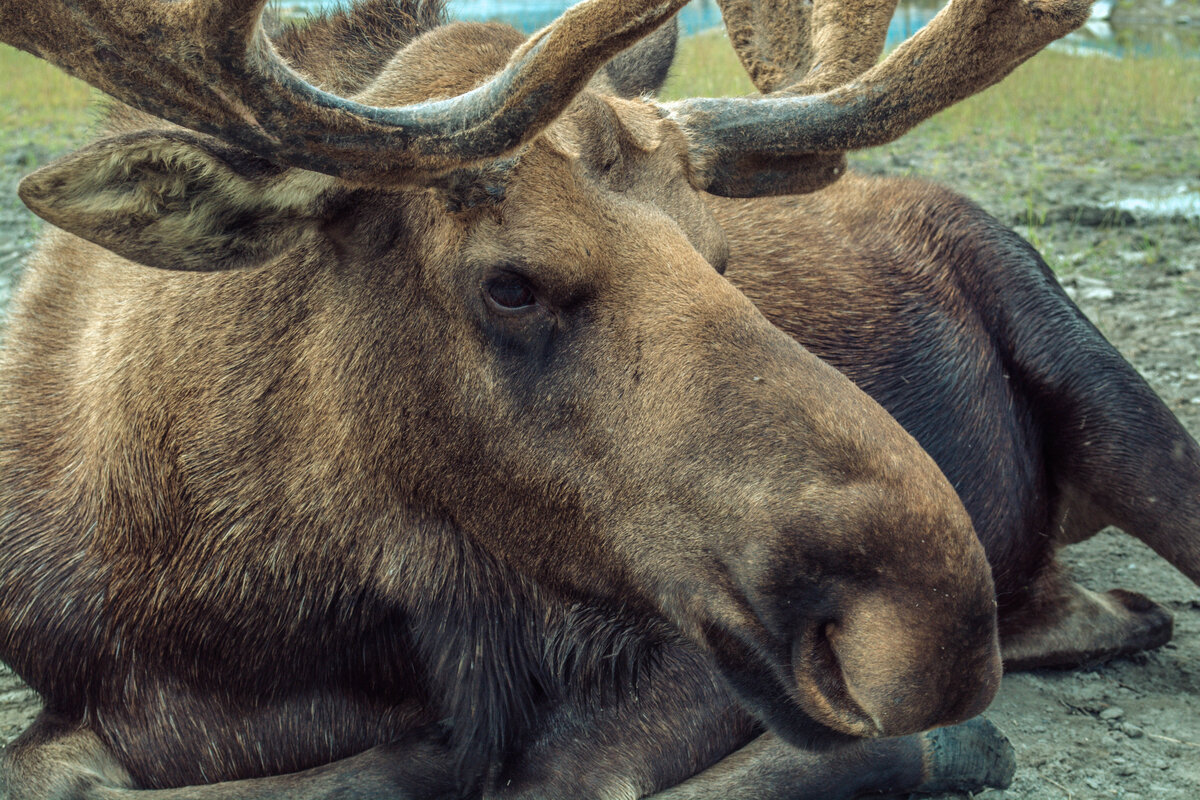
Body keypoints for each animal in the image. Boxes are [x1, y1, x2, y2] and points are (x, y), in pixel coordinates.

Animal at [0, 0, 1195, 796]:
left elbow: (551, 774)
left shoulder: (673, 645)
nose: (934, 617)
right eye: (510, 282)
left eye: (719, 251)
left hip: (1092, 370)